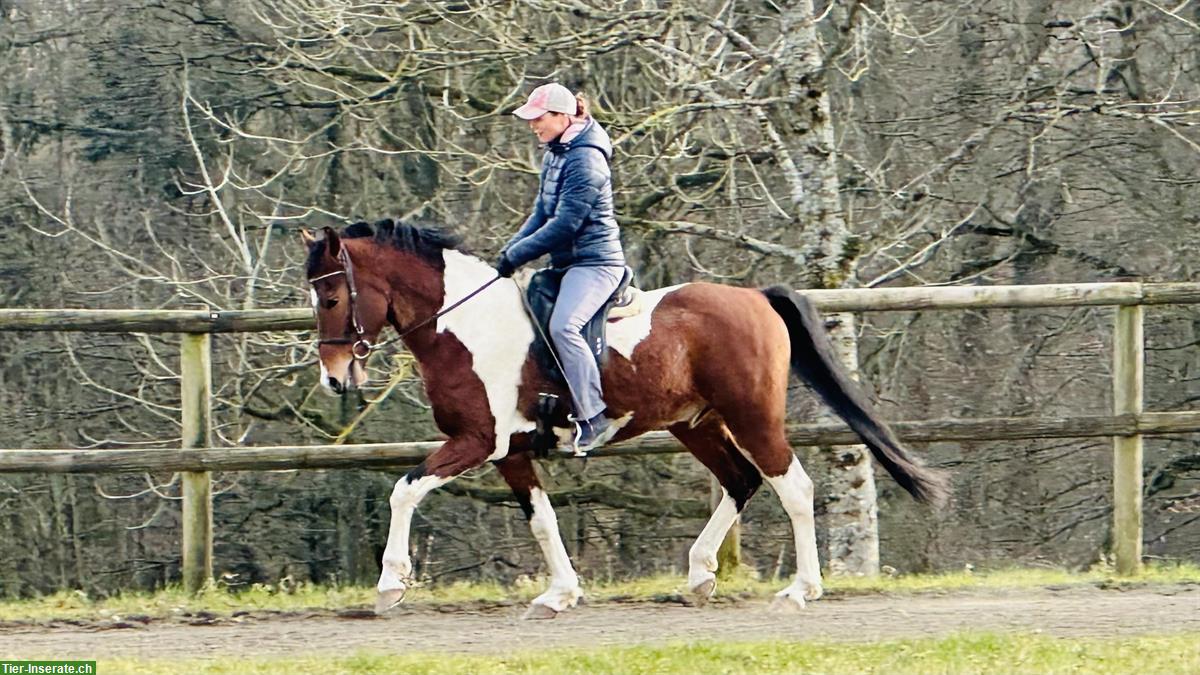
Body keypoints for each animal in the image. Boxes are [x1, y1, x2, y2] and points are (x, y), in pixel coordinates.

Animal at [300, 218, 945, 619]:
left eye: (330, 298)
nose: (335, 378)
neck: (465, 326)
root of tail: (754, 297)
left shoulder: (476, 440)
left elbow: (404, 491)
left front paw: (390, 585)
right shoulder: (511, 452)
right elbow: (542, 521)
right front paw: (559, 594)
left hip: (752, 417)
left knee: (794, 487)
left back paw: (800, 591)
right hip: (696, 424)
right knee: (740, 481)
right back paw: (700, 576)